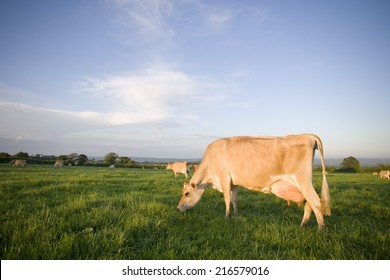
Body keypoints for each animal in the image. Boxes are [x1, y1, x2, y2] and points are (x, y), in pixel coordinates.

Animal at [178, 134, 330, 230]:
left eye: (186, 193)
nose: (178, 208)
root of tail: (307, 135)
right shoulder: (234, 182)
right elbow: (234, 199)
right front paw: (236, 214)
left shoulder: (224, 178)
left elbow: (226, 199)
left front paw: (226, 216)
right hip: (303, 183)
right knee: (309, 204)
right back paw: (303, 225)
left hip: (303, 181)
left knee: (316, 202)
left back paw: (321, 229)